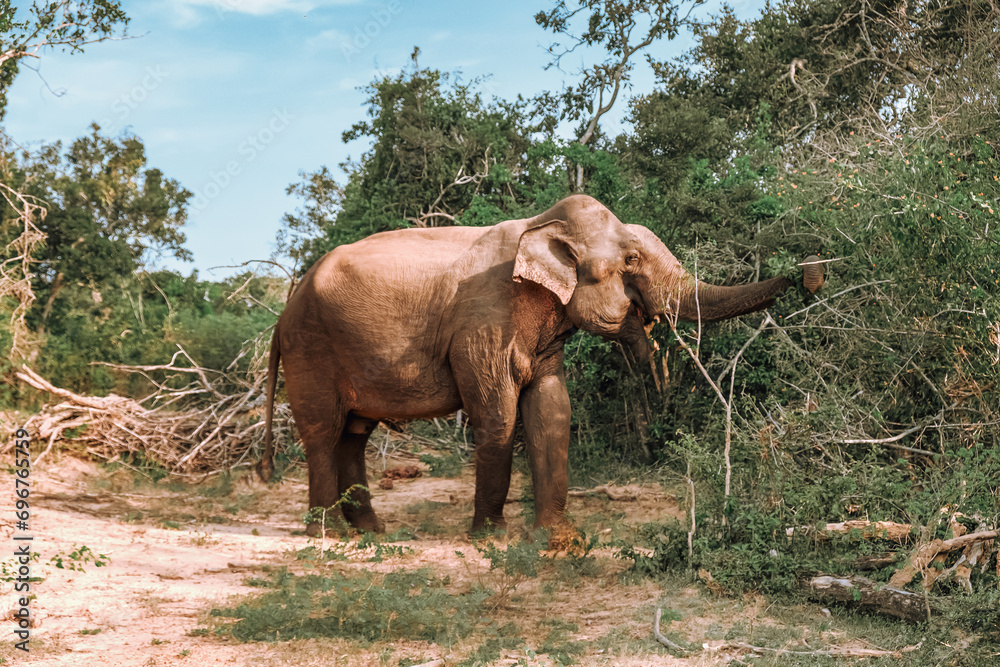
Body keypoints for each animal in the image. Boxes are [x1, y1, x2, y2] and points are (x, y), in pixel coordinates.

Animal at [257, 194, 824, 536]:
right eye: (631, 262)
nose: (809, 270)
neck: (539, 226)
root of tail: (282, 313)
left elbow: (552, 409)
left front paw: (555, 536)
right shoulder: (484, 324)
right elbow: (498, 417)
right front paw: (491, 537)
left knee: (354, 434)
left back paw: (369, 532)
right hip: (312, 350)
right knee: (322, 433)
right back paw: (326, 533)